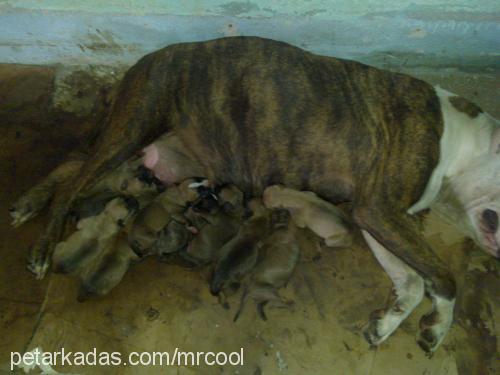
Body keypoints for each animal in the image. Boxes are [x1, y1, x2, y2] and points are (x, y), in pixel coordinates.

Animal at [18, 36, 500, 356]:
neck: (465, 143)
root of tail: (141, 64)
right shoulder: (380, 210)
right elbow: (443, 277)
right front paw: (439, 326)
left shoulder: (378, 219)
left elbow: (413, 280)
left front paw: (388, 321)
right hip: (133, 126)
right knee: (71, 183)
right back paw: (41, 247)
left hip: (138, 156)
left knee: (71, 167)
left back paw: (27, 203)